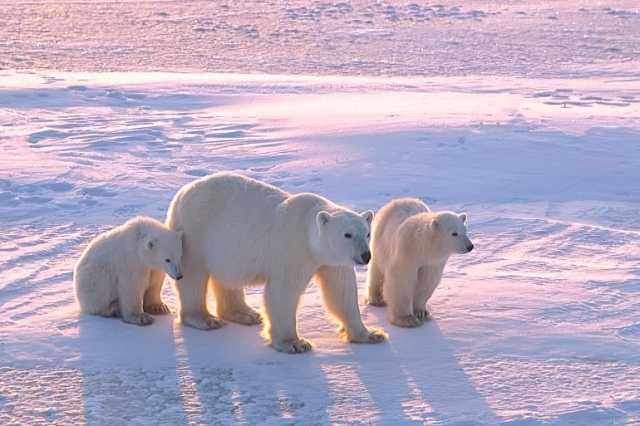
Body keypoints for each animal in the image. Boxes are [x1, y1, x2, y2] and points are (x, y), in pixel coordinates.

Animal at [152, 171, 388, 354]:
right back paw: (204, 319)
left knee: (227, 278)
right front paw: (294, 343)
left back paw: (245, 314)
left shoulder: (332, 261)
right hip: (196, 232)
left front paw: (371, 334)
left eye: (367, 233)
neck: (308, 231)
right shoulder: (293, 250)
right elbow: (283, 292)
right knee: (193, 275)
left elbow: (341, 292)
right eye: (347, 234)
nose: (365, 256)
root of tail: (181, 193)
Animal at [364, 198, 476, 328]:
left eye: (465, 230)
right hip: (381, 239)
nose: (470, 246)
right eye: (454, 233)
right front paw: (406, 319)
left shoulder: (432, 262)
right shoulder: (406, 253)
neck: (422, 247)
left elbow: (427, 282)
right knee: (376, 269)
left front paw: (421, 313)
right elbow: (402, 280)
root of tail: (399, 200)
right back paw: (376, 299)